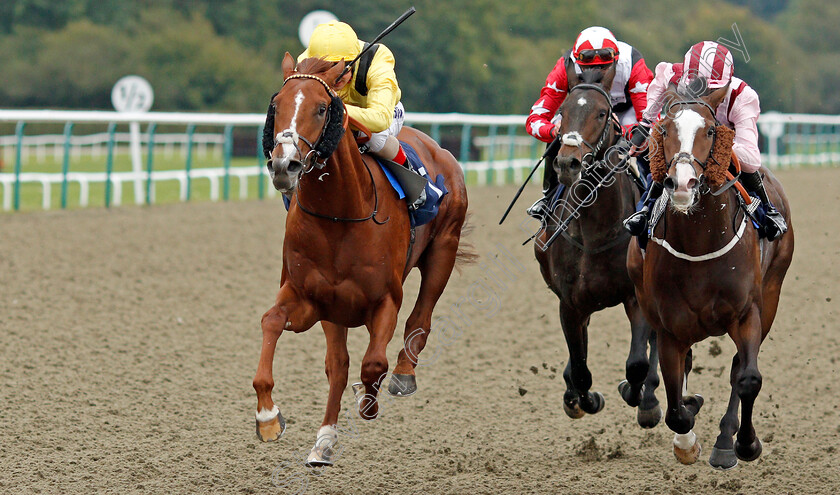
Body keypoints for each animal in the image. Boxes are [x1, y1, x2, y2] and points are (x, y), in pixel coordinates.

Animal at [249, 53, 472, 464]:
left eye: (322, 108)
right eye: (277, 106)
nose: (284, 165)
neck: (339, 216)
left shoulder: (384, 300)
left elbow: (373, 363)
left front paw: (369, 401)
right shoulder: (310, 300)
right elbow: (272, 322)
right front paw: (268, 417)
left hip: (443, 251)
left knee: (420, 318)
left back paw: (403, 374)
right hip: (335, 310)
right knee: (338, 366)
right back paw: (323, 442)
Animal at [540, 65, 664, 430]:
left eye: (601, 113)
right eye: (563, 112)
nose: (568, 163)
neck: (594, 231)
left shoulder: (636, 297)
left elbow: (637, 363)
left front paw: (638, 395)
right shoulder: (570, 303)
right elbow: (580, 366)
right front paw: (583, 399)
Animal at [632, 84, 796, 468]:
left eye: (709, 130)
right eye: (663, 130)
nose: (682, 183)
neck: (698, 242)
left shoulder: (747, 313)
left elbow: (747, 378)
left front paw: (746, 444)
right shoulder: (670, 327)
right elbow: (676, 409)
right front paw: (686, 441)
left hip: (771, 294)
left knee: (738, 368)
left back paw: (726, 440)